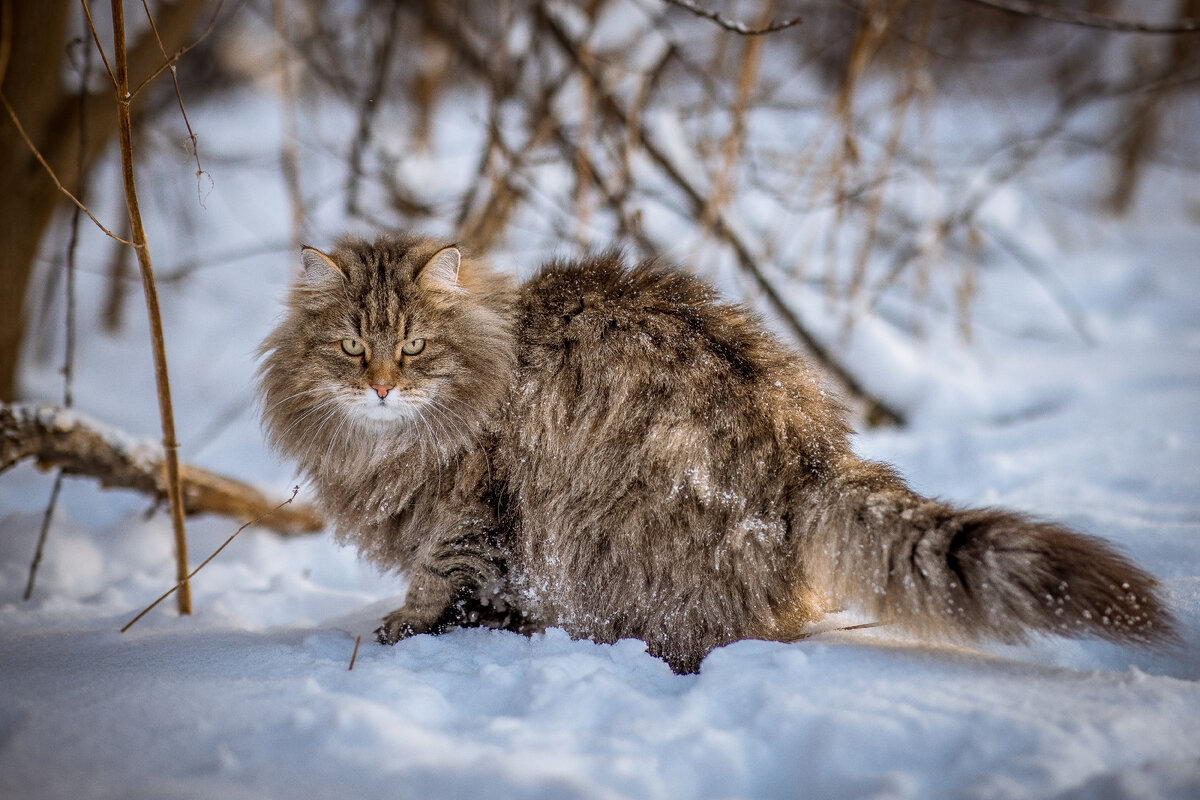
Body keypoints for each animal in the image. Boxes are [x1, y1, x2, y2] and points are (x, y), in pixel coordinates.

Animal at [260, 232, 1171, 676]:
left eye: (413, 347)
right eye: (350, 347)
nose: (381, 386)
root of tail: (813, 451)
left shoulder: (474, 508)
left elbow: (439, 577)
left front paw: (404, 632)